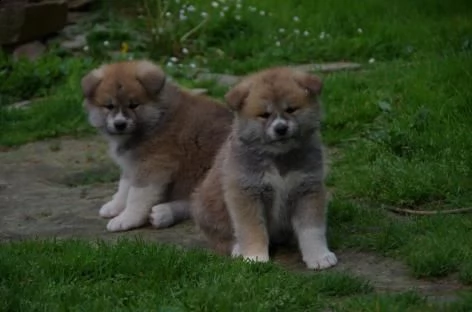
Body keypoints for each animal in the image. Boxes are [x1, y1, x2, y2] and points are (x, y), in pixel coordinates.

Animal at [83, 60, 234, 232]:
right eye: (109, 106)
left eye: (134, 105)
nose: (120, 124)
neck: (156, 119)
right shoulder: (132, 164)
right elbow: (124, 187)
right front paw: (116, 205)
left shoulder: (153, 165)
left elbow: (136, 196)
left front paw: (126, 218)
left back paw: (165, 213)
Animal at [190, 67, 338, 270]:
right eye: (264, 115)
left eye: (291, 109)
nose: (281, 128)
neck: (278, 157)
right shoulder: (246, 192)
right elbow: (252, 229)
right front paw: (255, 257)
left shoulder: (308, 188)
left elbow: (312, 230)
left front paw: (319, 256)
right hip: (207, 209)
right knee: (222, 238)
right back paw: (238, 249)